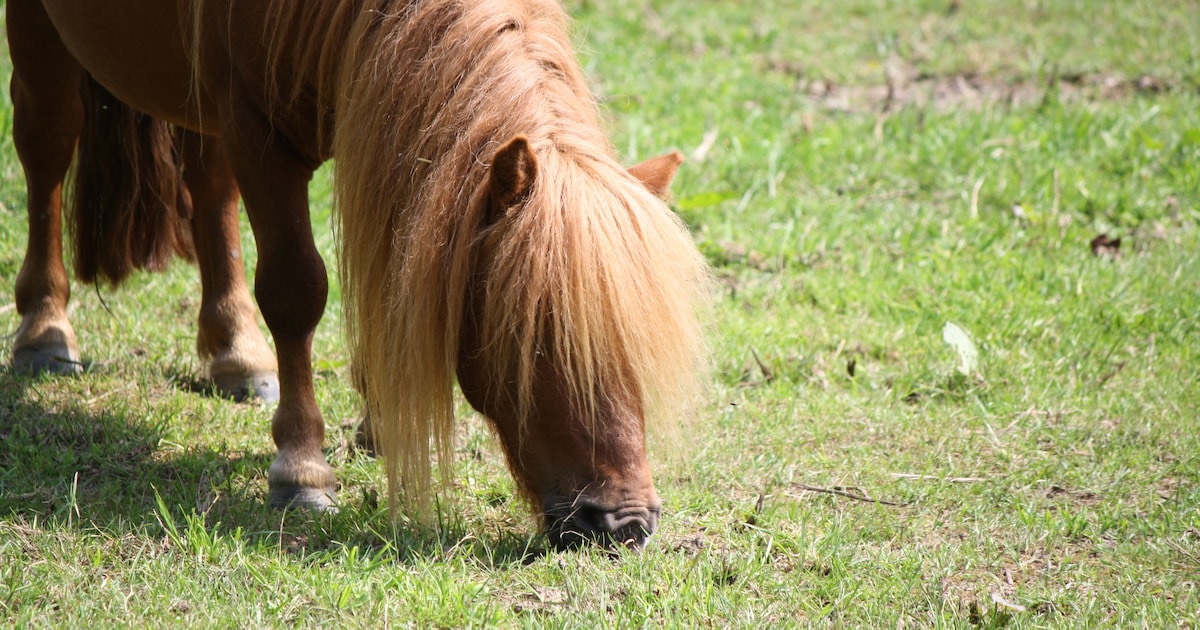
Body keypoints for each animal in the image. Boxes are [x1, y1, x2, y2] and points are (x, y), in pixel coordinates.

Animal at [6, 0, 709, 549]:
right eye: (534, 339)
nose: (623, 524)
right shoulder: (258, 130)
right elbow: (296, 291)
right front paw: (301, 469)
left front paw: (377, 421)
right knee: (46, 146)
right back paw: (45, 332)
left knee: (208, 188)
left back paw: (236, 354)